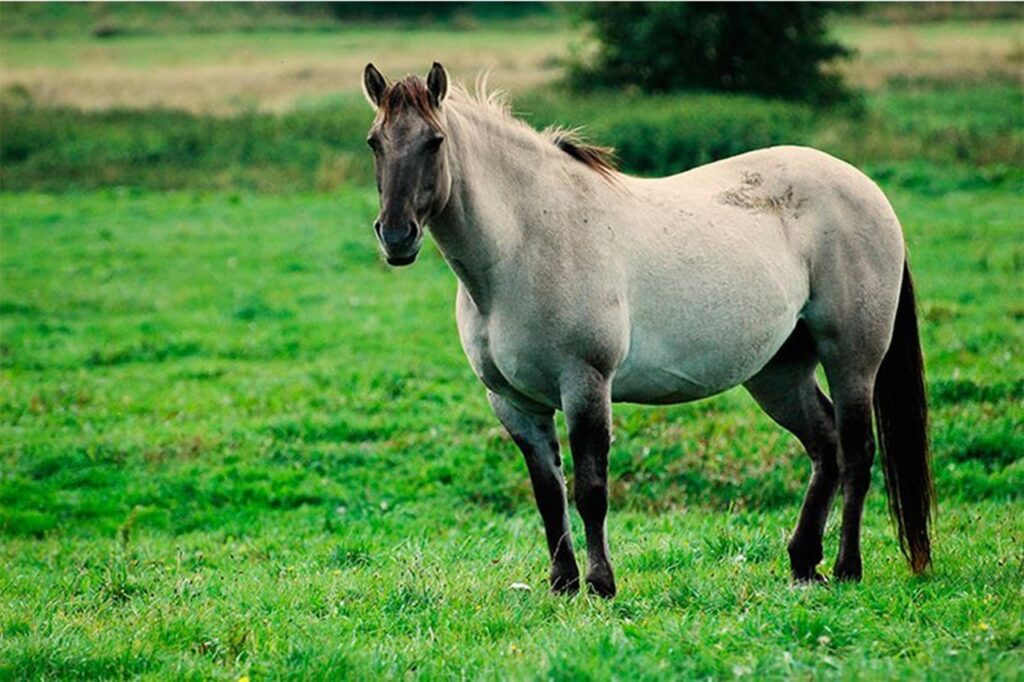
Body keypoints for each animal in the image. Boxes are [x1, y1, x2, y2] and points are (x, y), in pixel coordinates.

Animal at [362, 62, 937, 593]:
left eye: (435, 141)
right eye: (375, 142)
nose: (396, 236)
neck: (527, 243)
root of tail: (867, 190)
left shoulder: (586, 384)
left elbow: (591, 490)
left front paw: (600, 583)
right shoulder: (513, 402)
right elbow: (549, 495)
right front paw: (562, 583)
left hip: (852, 358)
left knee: (857, 452)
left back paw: (846, 567)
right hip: (778, 371)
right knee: (826, 448)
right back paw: (802, 563)